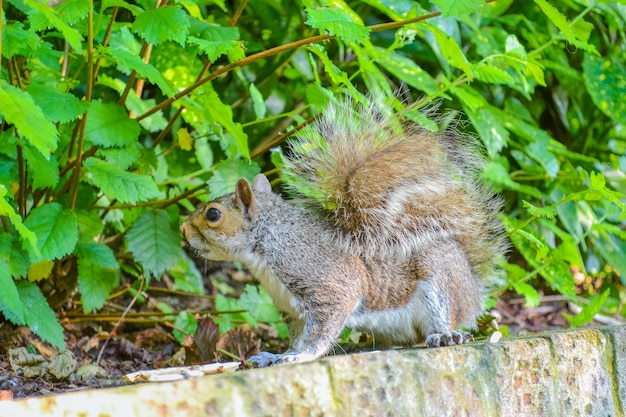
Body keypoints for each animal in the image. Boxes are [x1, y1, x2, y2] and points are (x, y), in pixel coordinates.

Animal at [180, 96, 508, 364]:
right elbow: (298, 335)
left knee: (445, 317)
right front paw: (275, 355)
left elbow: (320, 333)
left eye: (213, 214)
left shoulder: (329, 283)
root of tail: (473, 288)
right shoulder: (292, 309)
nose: (182, 229)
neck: (270, 242)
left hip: (440, 279)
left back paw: (444, 335)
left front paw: (299, 356)